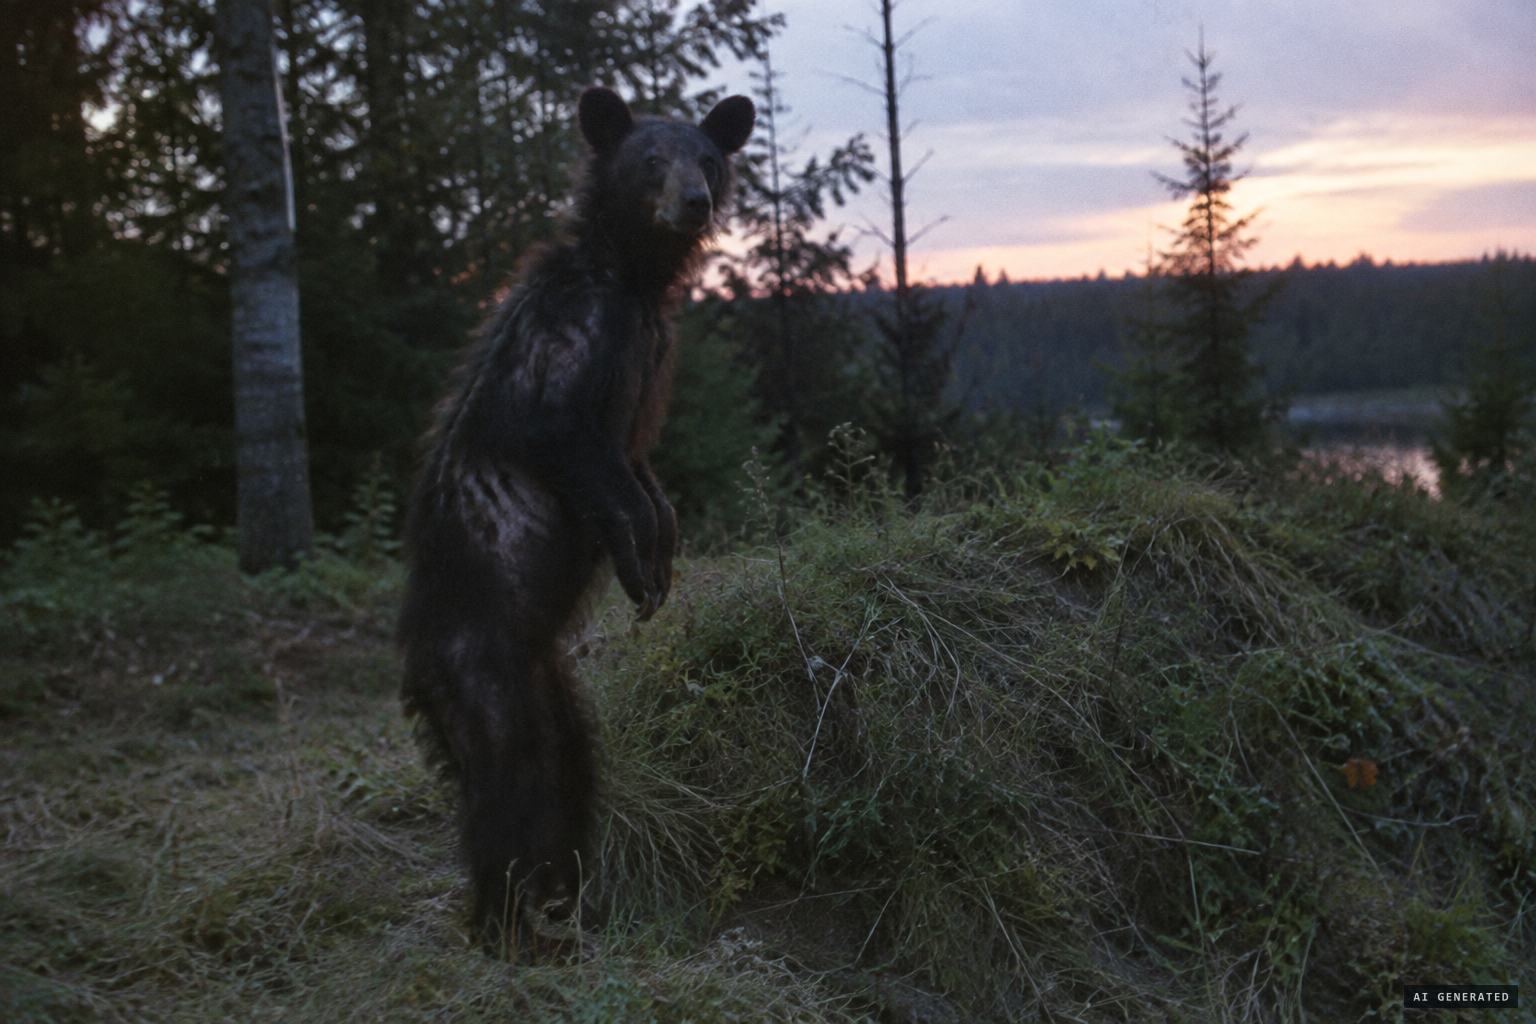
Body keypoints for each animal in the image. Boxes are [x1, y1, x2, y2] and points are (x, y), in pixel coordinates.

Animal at [396, 86, 755, 951]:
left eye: (709, 157)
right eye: (650, 160)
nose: (693, 203)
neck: (636, 284)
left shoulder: (649, 365)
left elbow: (645, 472)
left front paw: (664, 549)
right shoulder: (568, 346)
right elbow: (573, 444)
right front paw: (638, 562)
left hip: (557, 696)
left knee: (573, 780)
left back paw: (573, 904)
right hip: (482, 674)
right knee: (503, 794)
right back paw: (508, 931)